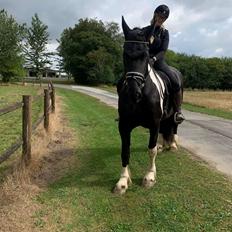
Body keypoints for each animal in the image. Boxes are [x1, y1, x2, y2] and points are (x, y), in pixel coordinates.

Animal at [113, 16, 184, 194]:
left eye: (145, 55)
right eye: (125, 54)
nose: (133, 93)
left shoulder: (154, 123)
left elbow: (150, 150)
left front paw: (150, 177)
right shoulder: (124, 125)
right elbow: (125, 151)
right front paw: (123, 181)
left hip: (173, 112)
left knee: (174, 125)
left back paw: (173, 145)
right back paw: (163, 145)